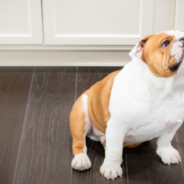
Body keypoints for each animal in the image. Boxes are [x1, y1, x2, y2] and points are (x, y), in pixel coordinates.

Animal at [69, 29, 184, 180]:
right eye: (165, 43)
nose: (183, 39)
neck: (166, 90)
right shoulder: (117, 127)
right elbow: (115, 151)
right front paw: (111, 168)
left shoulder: (174, 124)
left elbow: (165, 140)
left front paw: (167, 153)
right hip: (80, 114)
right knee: (79, 142)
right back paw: (81, 160)